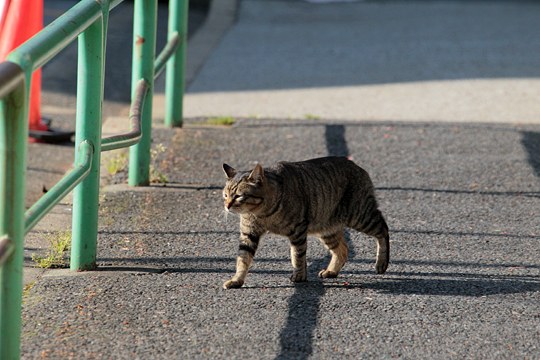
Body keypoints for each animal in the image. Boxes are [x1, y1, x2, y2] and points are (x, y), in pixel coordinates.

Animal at [221, 156, 390, 288]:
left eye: (238, 196)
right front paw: (237, 280)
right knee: (343, 249)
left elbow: (297, 255)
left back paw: (382, 263)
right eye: (225, 195)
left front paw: (299, 276)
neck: (262, 213)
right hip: (327, 228)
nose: (227, 206)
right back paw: (331, 271)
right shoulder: (248, 233)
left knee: (383, 229)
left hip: (360, 215)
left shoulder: (298, 230)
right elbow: (242, 258)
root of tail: (357, 166)